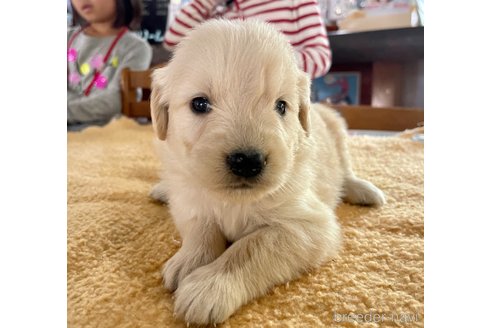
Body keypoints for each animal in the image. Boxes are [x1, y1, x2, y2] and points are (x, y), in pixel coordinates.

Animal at [150, 19, 384, 324]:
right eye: (199, 104)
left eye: (281, 106)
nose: (247, 161)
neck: (234, 201)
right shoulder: (191, 202)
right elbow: (201, 228)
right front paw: (188, 261)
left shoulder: (309, 224)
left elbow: (252, 246)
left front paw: (208, 286)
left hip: (337, 128)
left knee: (346, 172)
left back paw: (365, 191)